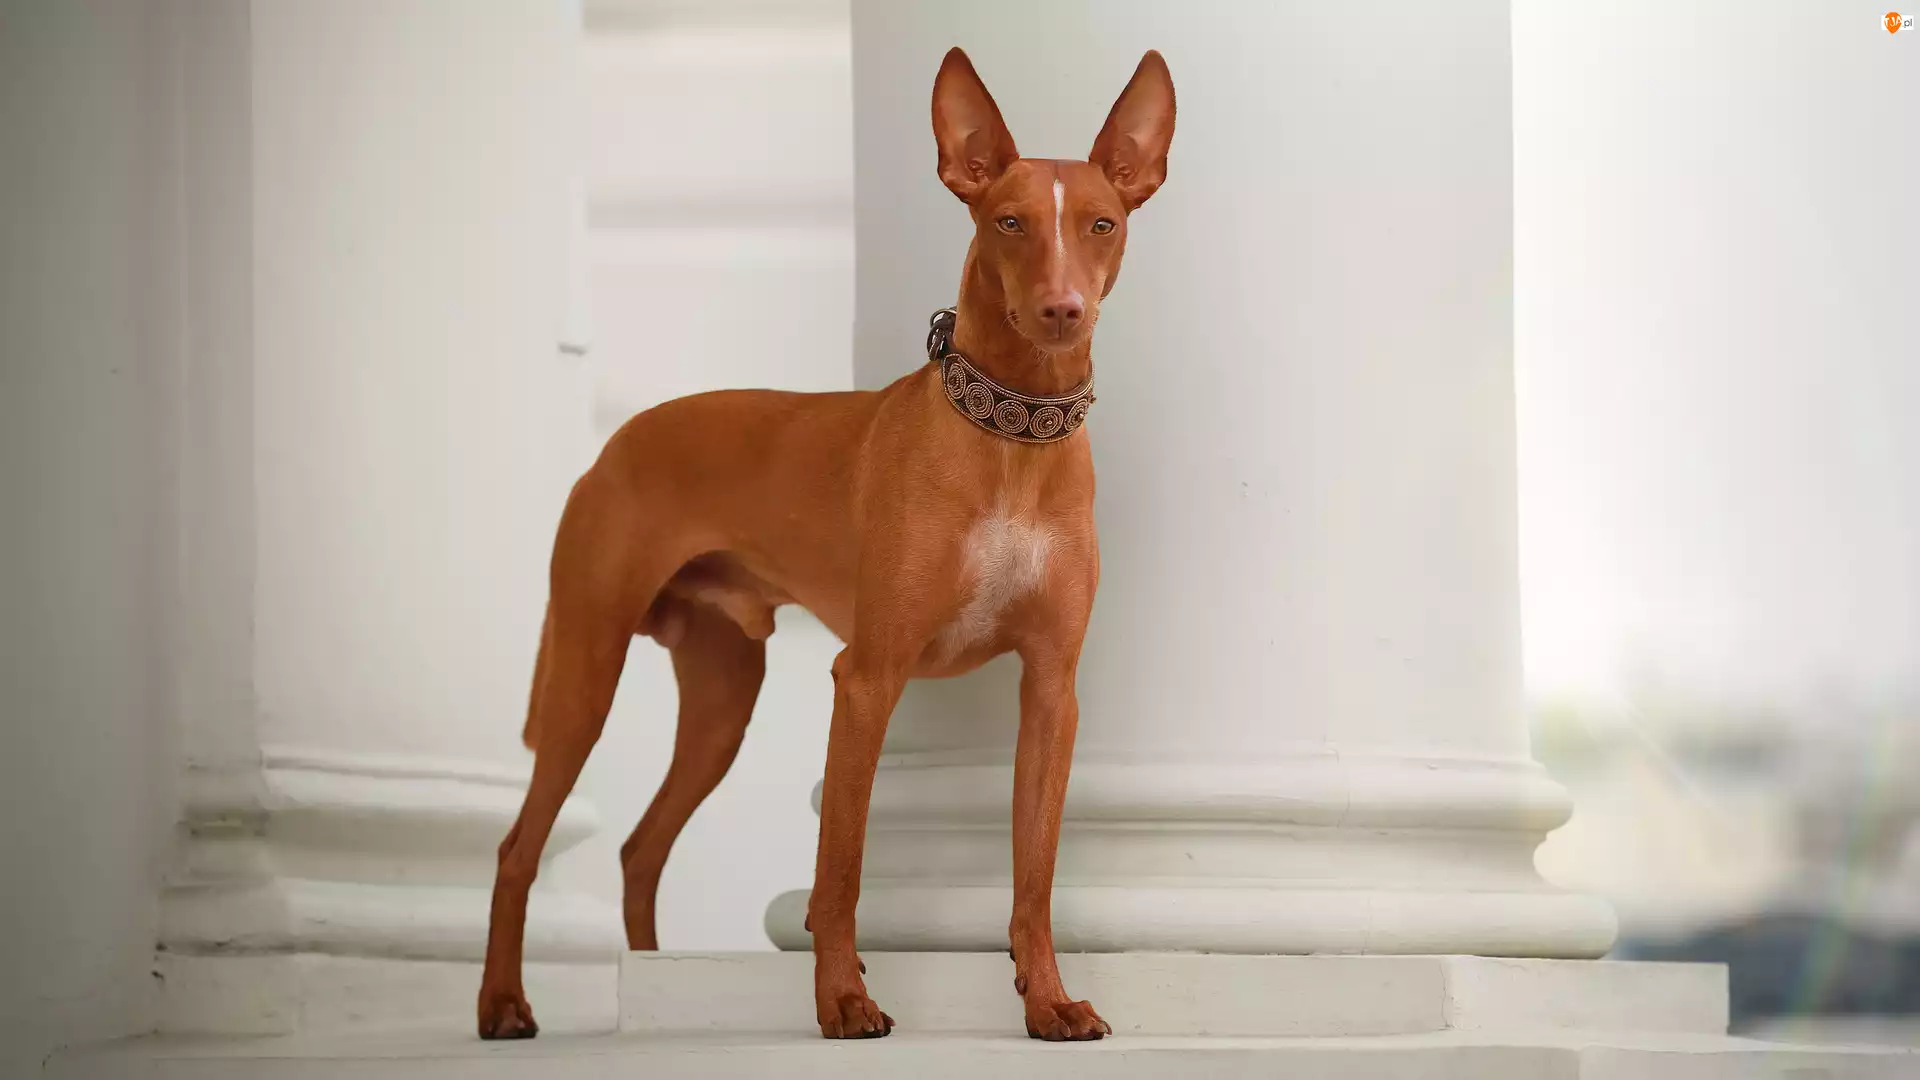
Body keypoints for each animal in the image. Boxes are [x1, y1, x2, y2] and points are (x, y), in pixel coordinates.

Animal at [478, 45, 1174, 1043]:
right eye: (1007, 221)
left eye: (1102, 224)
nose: (1061, 310)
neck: (1012, 441)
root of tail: (621, 436)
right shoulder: (868, 679)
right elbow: (839, 867)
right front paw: (843, 1000)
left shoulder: (1052, 694)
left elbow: (1033, 876)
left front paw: (1048, 1001)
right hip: (585, 674)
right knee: (516, 848)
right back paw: (503, 1002)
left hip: (722, 701)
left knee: (641, 847)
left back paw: (651, 981)